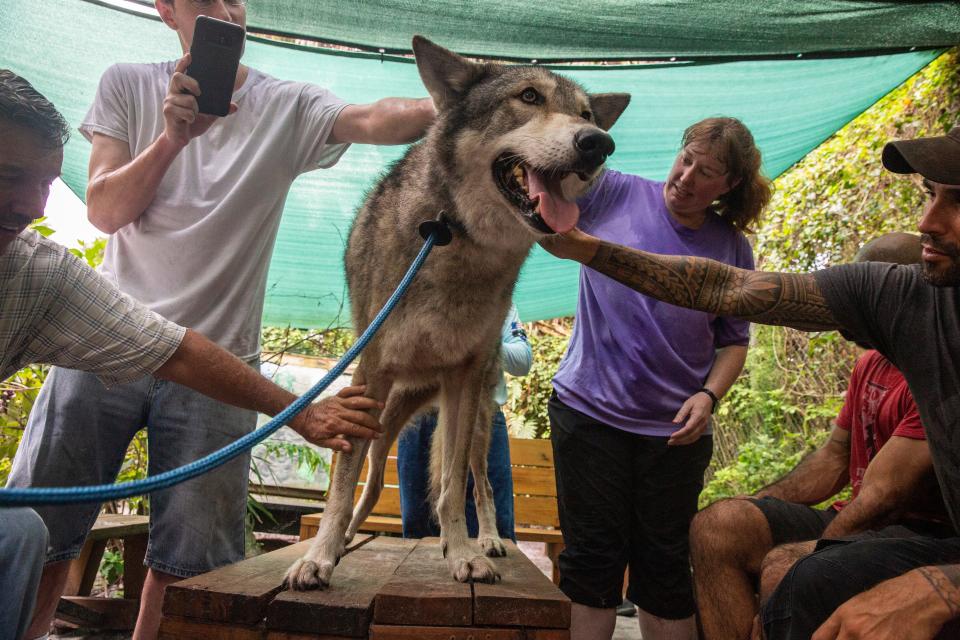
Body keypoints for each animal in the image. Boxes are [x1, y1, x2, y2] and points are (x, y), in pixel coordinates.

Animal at [284, 36, 632, 592]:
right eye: (529, 96)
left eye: (584, 113)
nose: (599, 143)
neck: (453, 238)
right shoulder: (370, 375)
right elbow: (343, 485)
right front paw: (318, 557)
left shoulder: (464, 378)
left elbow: (451, 490)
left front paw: (463, 554)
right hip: (385, 423)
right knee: (372, 481)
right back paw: (345, 540)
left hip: (473, 424)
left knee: (478, 485)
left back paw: (484, 539)